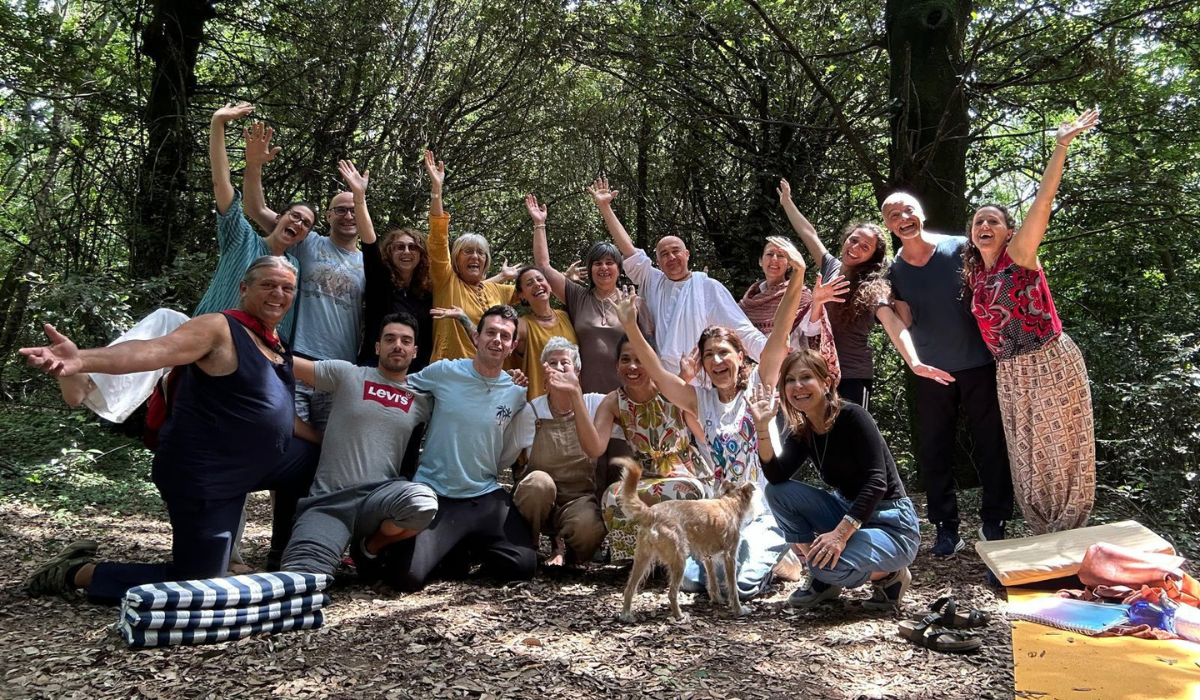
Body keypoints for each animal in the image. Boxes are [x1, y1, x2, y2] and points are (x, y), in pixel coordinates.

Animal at [619, 461, 758, 624]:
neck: (730, 502)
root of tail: (652, 513)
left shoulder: (708, 558)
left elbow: (713, 581)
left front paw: (717, 599)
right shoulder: (730, 556)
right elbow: (732, 586)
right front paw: (739, 610)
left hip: (642, 559)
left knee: (629, 588)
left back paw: (626, 615)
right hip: (679, 559)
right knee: (672, 593)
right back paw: (679, 616)